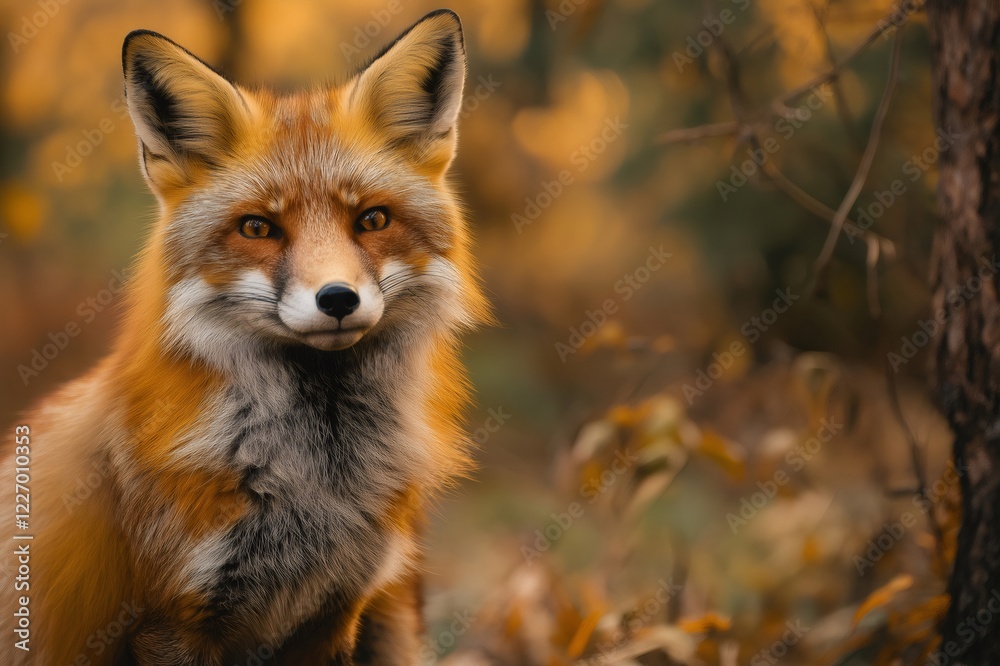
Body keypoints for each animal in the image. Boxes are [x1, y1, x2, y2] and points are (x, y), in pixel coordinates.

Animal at [1, 9, 488, 665]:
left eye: (373, 220)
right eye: (258, 228)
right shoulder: (172, 619)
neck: (320, 477)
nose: (337, 299)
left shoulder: (335, 613)